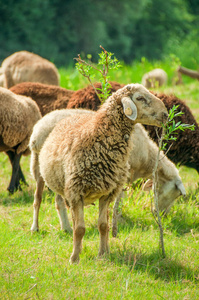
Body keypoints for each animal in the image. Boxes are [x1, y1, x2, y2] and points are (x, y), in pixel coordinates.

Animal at [33, 84, 168, 262]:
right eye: (140, 98)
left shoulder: (107, 193)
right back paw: (36, 228)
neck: (99, 136)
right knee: (39, 200)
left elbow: (103, 226)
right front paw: (74, 259)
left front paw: (103, 254)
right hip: (44, 175)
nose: (165, 114)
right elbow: (80, 229)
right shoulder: (77, 192)